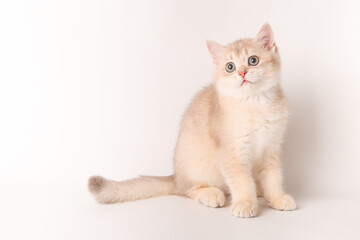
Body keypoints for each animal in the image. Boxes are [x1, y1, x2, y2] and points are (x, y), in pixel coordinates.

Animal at [88, 23, 296, 218]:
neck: (256, 104)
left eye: (253, 60)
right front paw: (245, 203)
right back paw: (212, 194)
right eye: (230, 67)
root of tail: (175, 178)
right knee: (188, 190)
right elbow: (241, 181)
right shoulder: (232, 152)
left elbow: (273, 177)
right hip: (200, 166)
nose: (242, 73)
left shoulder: (271, 148)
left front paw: (277, 197)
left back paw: (259, 190)